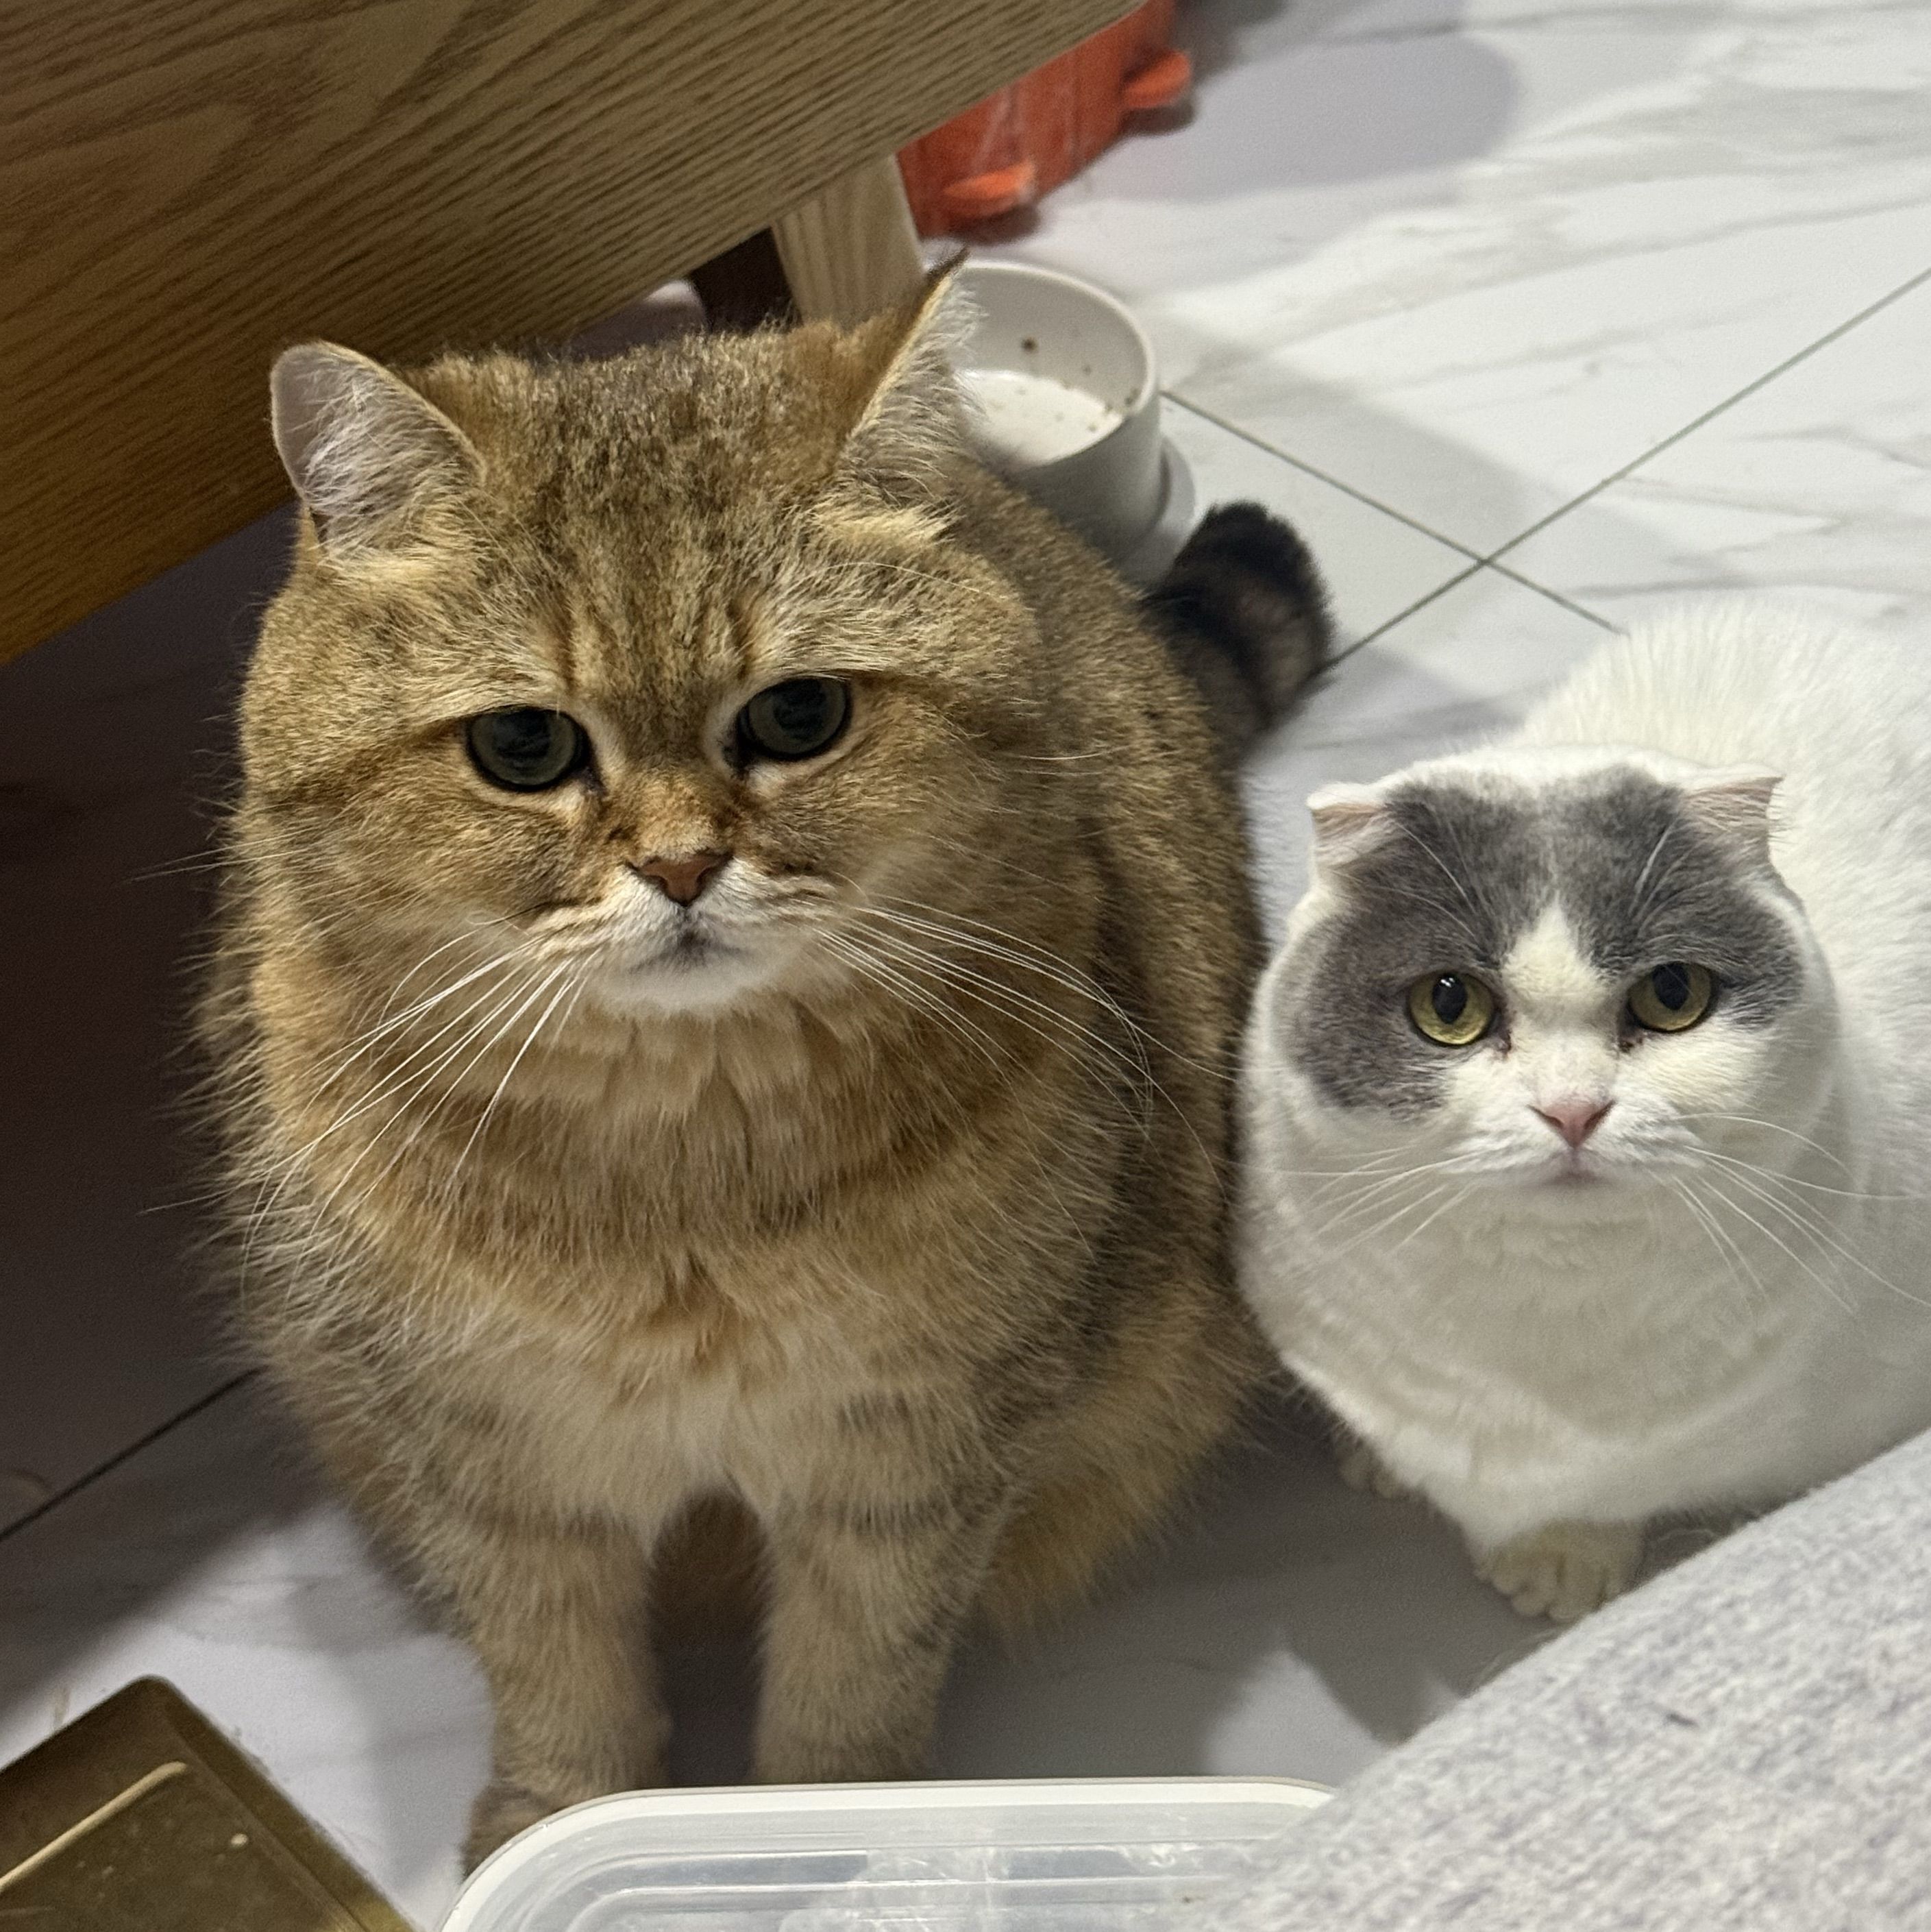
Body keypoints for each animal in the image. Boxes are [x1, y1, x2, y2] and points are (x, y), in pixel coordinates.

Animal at [202, 269, 1331, 1861]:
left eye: (799, 715)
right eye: (521, 743)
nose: (681, 864)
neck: (682, 1167)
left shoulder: (906, 1467)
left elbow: (852, 1679)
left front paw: (819, 1838)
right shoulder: (496, 1468)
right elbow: (554, 1666)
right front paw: (555, 1816)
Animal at [1239, 603, 1931, 1624]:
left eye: (1673, 994)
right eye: (1448, 1003)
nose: (1571, 1108)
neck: (1547, 1321)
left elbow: (1610, 1493)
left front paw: (1562, 1559)